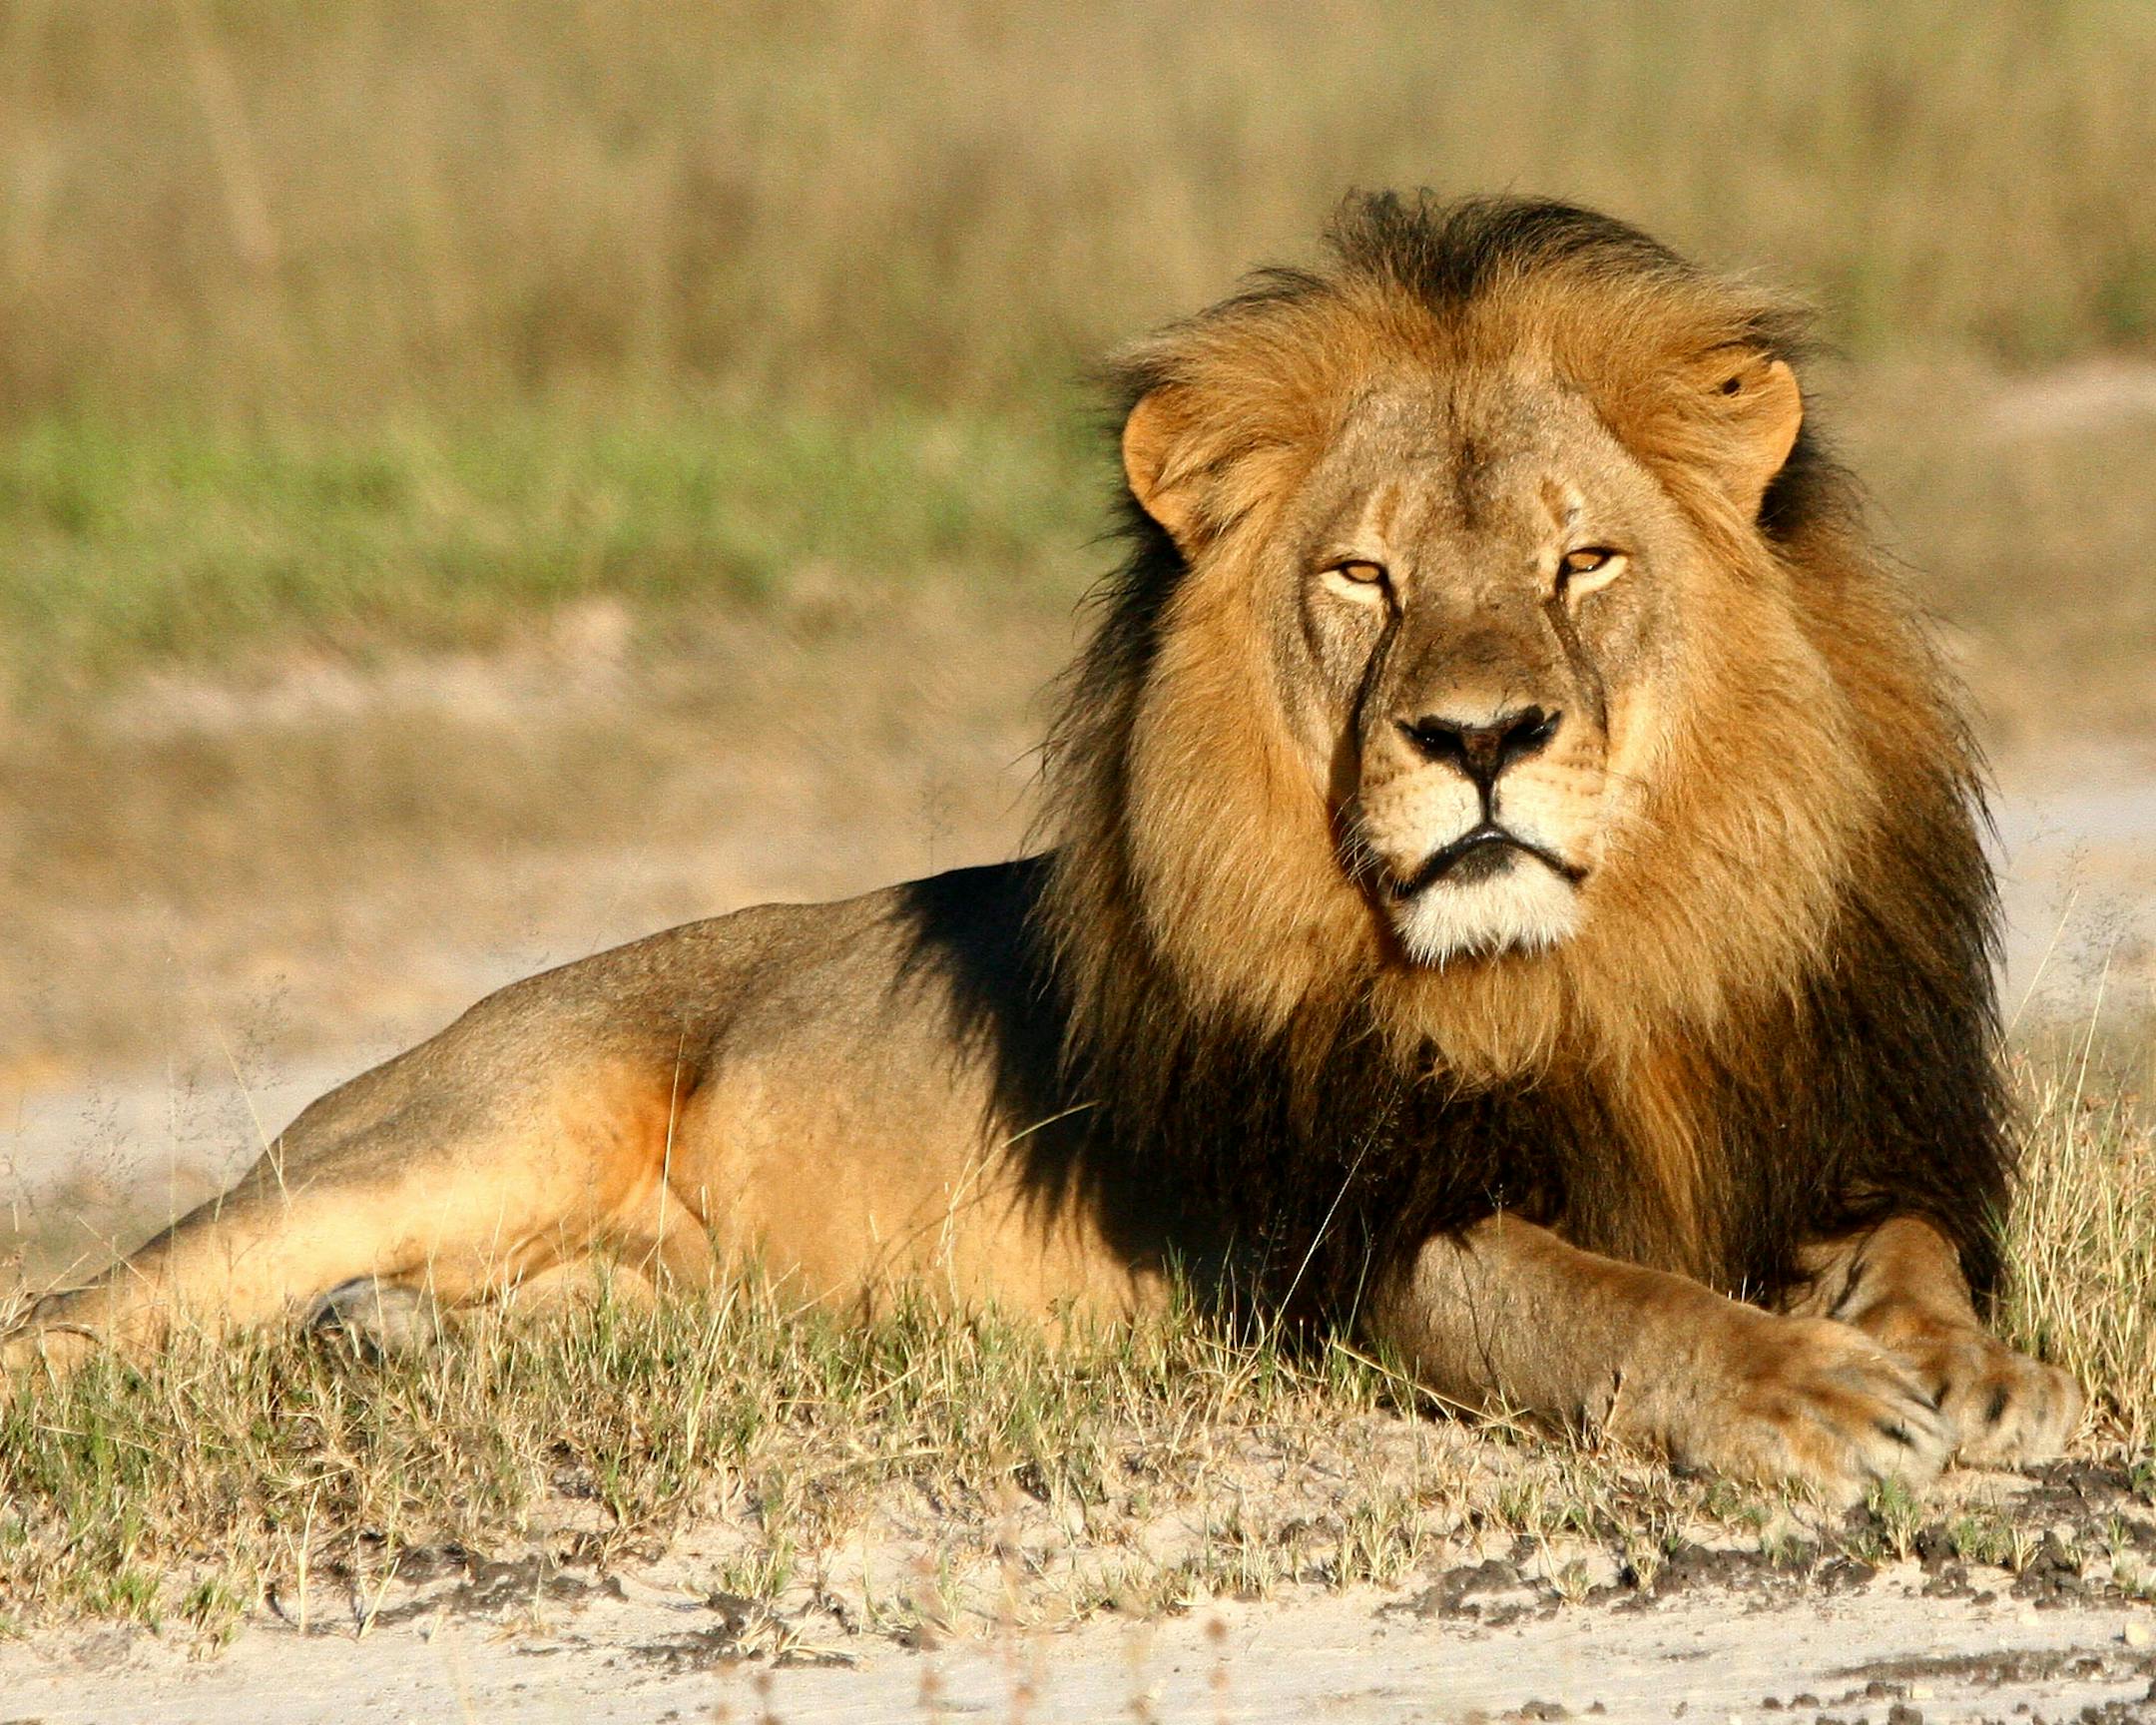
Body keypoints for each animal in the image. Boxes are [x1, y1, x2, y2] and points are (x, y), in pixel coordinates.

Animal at [3, 194, 2082, 1502]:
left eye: (1586, 560)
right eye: (1364, 576)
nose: (1479, 738)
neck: (1594, 969)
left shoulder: (1834, 1113)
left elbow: (1911, 1247)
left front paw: (1969, 1368)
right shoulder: (1345, 1232)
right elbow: (1599, 1299)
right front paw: (1804, 1395)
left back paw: (396, 1348)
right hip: (462, 1128)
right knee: (85, 1311)